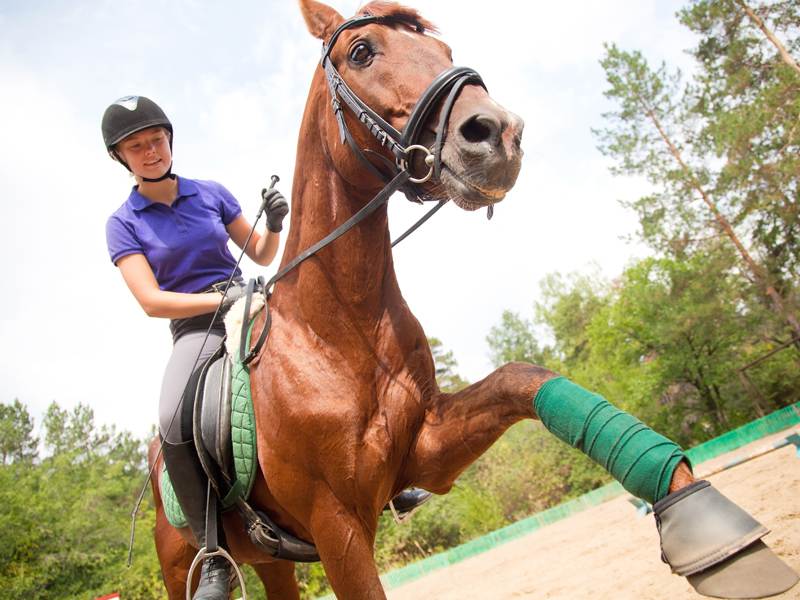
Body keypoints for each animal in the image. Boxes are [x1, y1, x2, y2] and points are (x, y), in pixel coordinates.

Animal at [151, 0, 548, 596]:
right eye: (361, 52)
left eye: (445, 50)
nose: (498, 133)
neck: (340, 328)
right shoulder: (336, 522)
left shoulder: (425, 450)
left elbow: (521, 379)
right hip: (181, 567)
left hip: (273, 560)